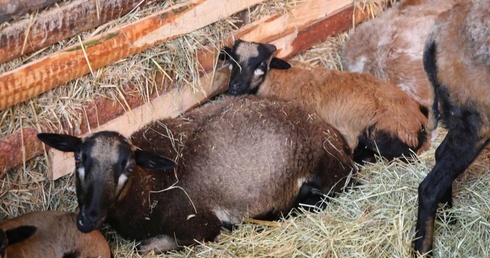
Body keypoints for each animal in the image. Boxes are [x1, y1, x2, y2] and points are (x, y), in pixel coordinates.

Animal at [36, 95, 354, 254]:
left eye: (128, 167)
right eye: (79, 158)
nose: (88, 218)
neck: (151, 188)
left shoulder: (200, 224)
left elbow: (147, 247)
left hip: (329, 169)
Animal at [220, 39, 430, 162]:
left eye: (261, 65)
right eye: (232, 61)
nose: (234, 87)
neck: (275, 81)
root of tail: (418, 122)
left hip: (377, 133)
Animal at [414, 0, 490, 256]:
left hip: (463, 116)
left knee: (440, 154)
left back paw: (449, 218)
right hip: (478, 122)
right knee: (428, 188)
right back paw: (423, 249)